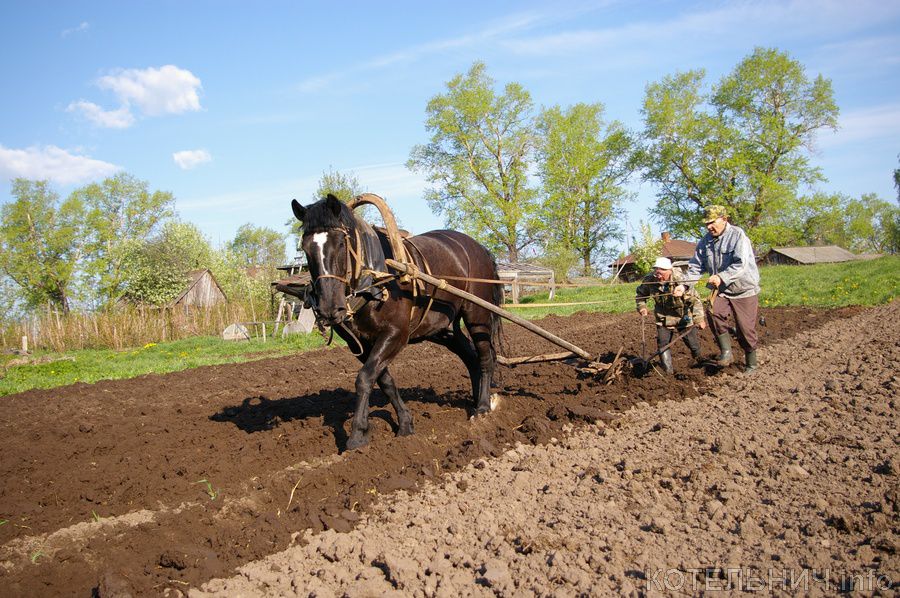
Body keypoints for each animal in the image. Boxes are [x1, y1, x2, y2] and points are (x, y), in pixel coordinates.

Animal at [292, 196, 502, 450]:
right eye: (305, 248)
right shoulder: (360, 344)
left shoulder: (395, 334)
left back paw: (482, 408)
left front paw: (357, 435)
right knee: (470, 358)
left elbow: (364, 378)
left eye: (341, 243)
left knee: (485, 357)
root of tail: (479, 248)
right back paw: (477, 399)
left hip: (477, 315)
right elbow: (384, 381)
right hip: (443, 329)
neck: (376, 279)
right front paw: (404, 424)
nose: (329, 309)